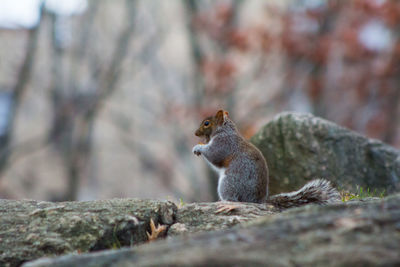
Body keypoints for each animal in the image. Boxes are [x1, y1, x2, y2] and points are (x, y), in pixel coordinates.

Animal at [193, 109, 340, 209]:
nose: (195, 133)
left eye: (206, 123)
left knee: (234, 199)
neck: (224, 131)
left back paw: (224, 202)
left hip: (228, 183)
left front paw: (198, 147)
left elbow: (214, 155)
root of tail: (257, 201)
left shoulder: (224, 144)